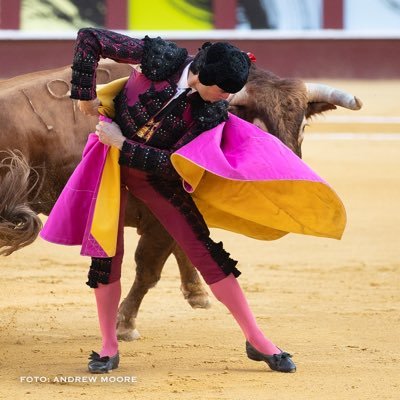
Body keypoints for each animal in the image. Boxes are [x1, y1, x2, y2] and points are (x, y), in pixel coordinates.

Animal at [0, 59, 362, 340]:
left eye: (301, 128)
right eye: (258, 128)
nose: (288, 180)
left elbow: (187, 247)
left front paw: (197, 293)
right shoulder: (158, 216)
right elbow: (149, 269)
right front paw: (125, 325)